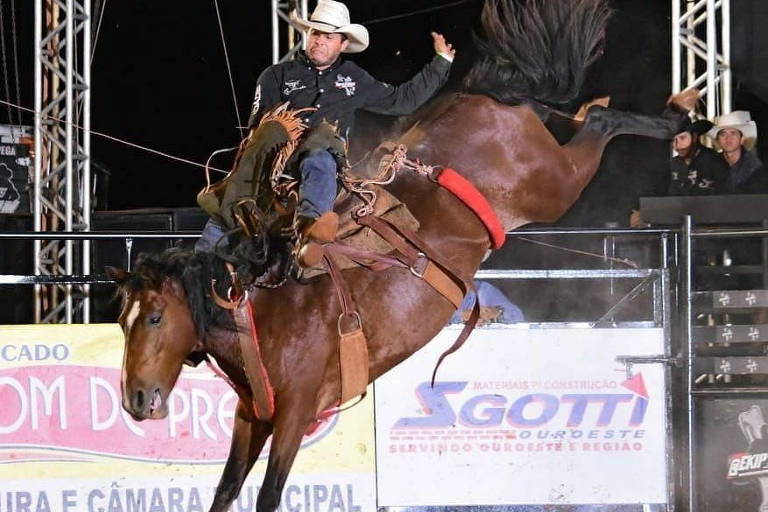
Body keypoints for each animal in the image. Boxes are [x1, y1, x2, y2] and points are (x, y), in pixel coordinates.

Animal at [105, 2, 688, 510]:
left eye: (155, 318)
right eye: (122, 322)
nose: (135, 399)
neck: (258, 306)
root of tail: (481, 98)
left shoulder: (295, 413)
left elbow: (268, 494)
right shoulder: (252, 415)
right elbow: (225, 491)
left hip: (552, 185)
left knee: (601, 126)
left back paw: (680, 119)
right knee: (595, 116)